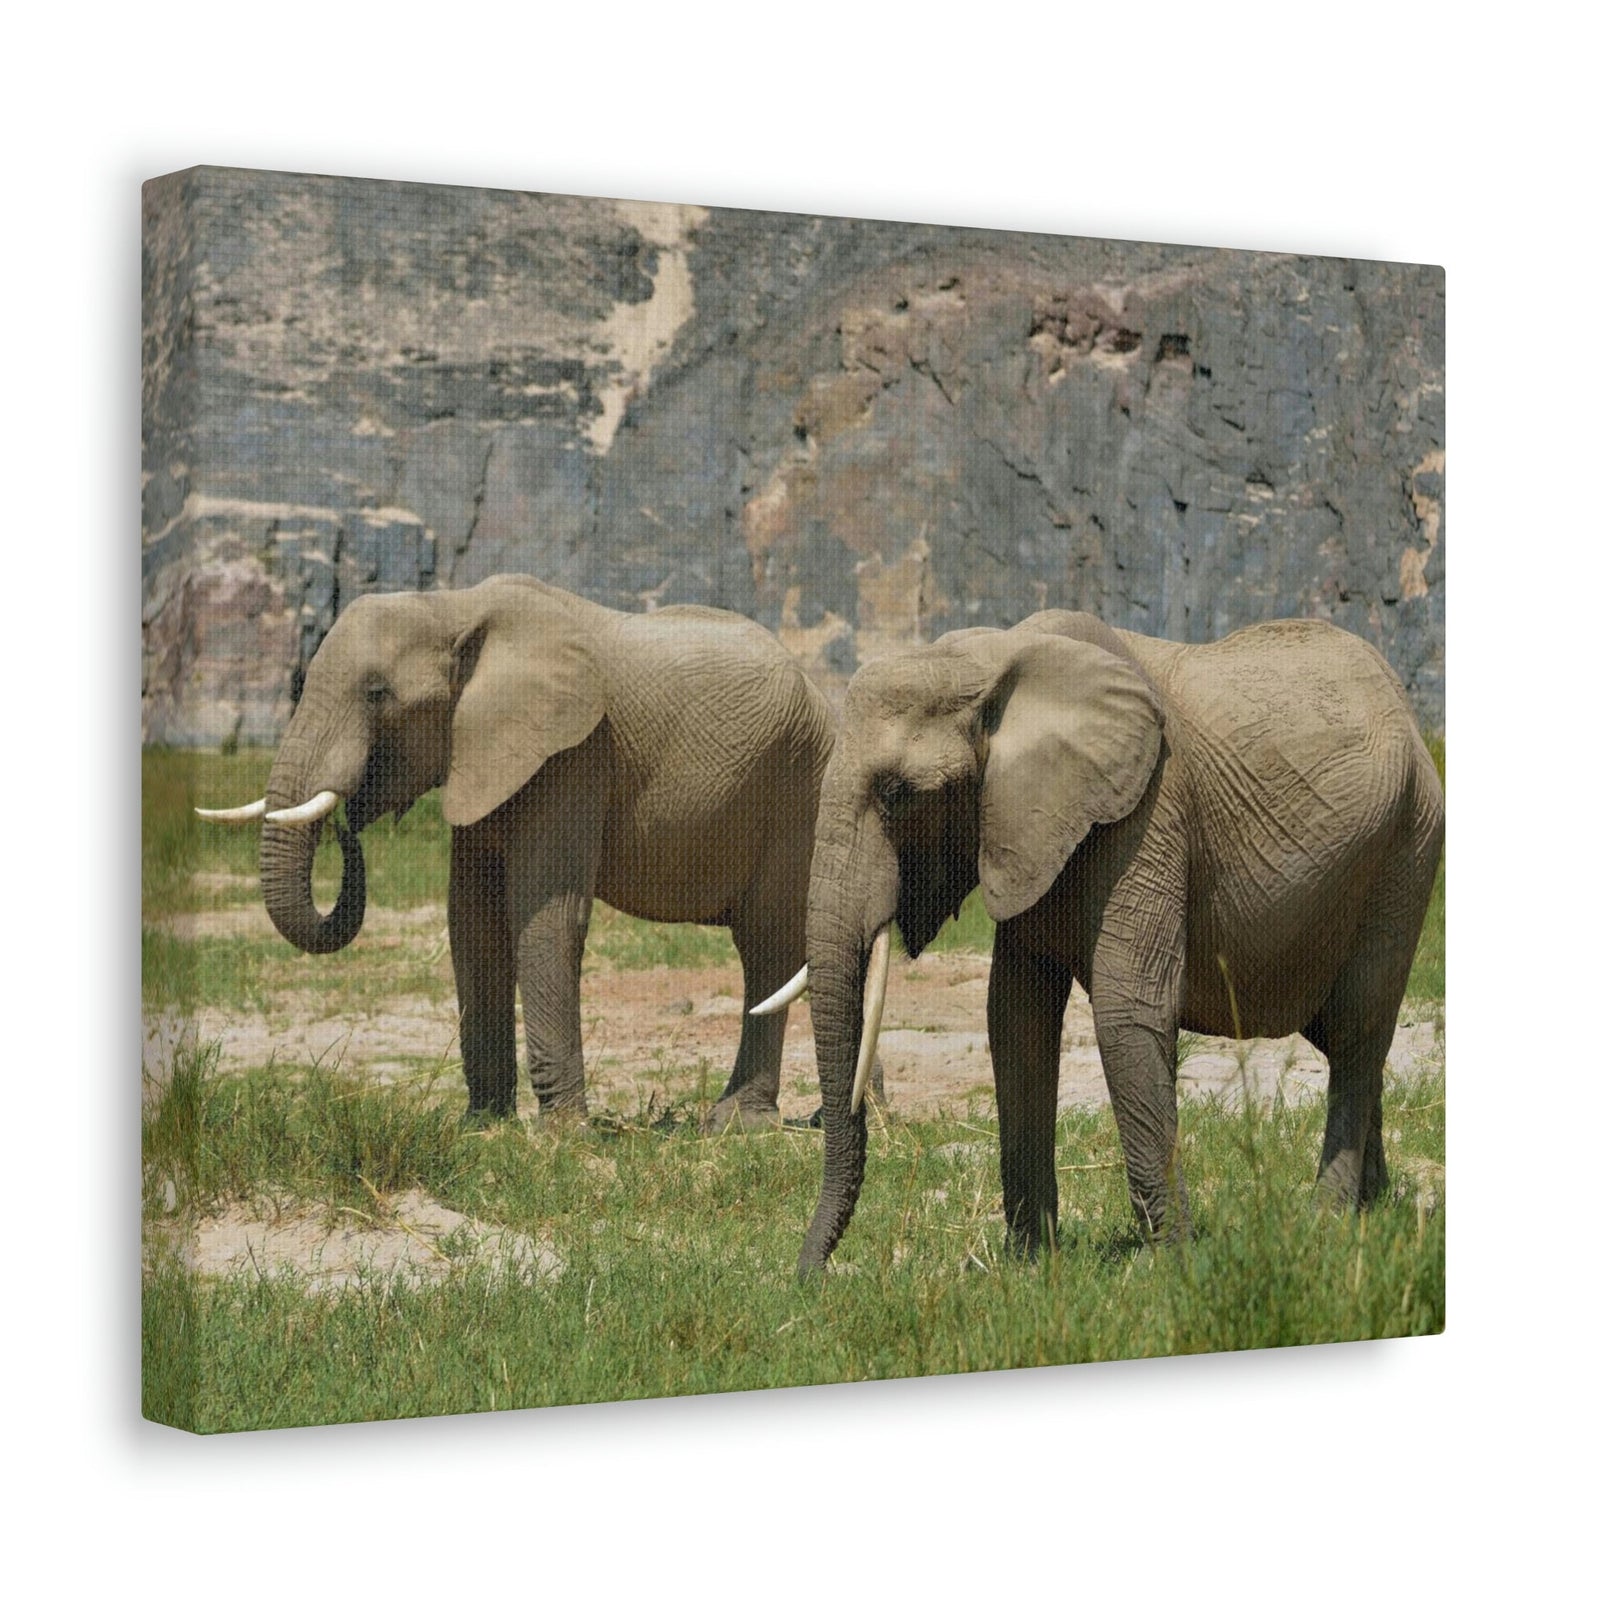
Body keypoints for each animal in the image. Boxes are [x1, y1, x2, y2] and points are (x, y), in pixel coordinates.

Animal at [198, 575, 836, 1128]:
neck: (453, 607)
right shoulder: (481, 753)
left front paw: (563, 1135)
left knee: (766, 946)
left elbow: (546, 916)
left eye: (377, 694)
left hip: (800, 787)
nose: (347, 824)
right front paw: (482, 1125)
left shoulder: (574, 752)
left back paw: (736, 1124)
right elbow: (472, 921)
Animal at [753, 610, 1444, 1274]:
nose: (810, 1278)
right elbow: (1016, 1017)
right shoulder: (1026, 826)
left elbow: (1127, 1014)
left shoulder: (1148, 812)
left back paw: (1328, 1224)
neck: (990, 662)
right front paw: (1030, 1267)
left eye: (897, 796)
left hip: (1407, 847)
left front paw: (1169, 1268)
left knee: (1356, 1030)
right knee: (1346, 1039)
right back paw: (1374, 1207)